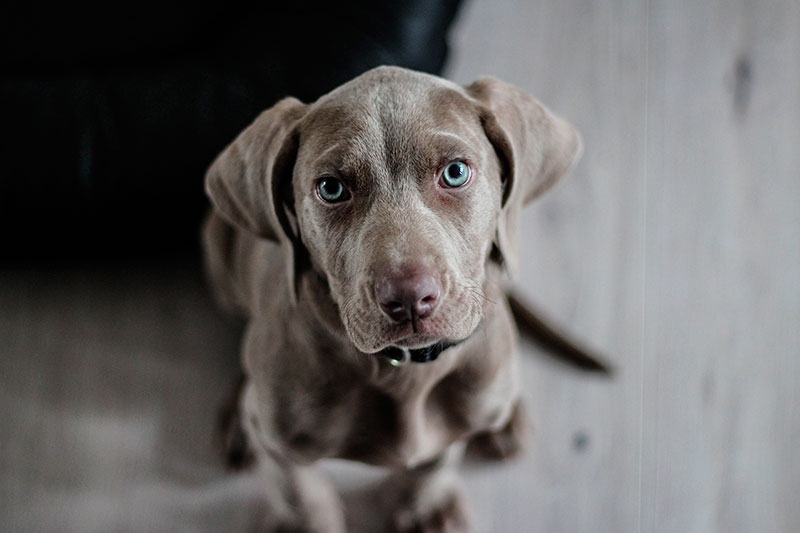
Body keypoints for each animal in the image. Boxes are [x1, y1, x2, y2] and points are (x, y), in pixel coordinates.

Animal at [206, 64, 592, 528]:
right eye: (331, 188)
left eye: (455, 172)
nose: (409, 298)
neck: (404, 371)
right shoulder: (282, 446)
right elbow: (301, 494)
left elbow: (438, 458)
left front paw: (427, 505)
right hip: (218, 249)